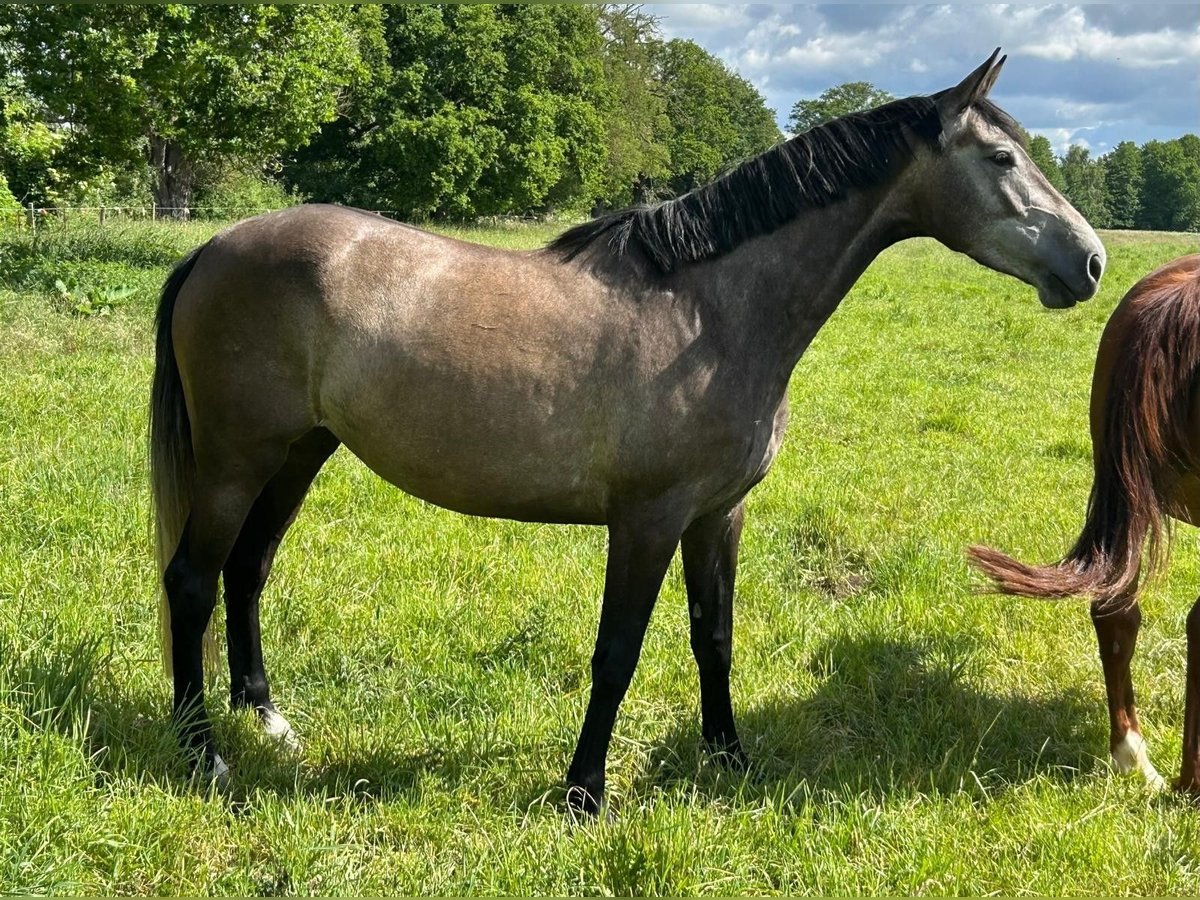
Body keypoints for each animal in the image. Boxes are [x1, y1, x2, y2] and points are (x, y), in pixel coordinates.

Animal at [150, 49, 1104, 814]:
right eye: (1002, 157)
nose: (1091, 262)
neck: (708, 314)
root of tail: (214, 248)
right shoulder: (647, 521)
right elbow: (618, 654)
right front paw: (584, 793)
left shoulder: (718, 515)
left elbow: (713, 638)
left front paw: (730, 758)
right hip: (237, 461)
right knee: (193, 580)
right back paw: (203, 755)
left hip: (298, 453)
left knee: (247, 570)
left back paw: (266, 718)